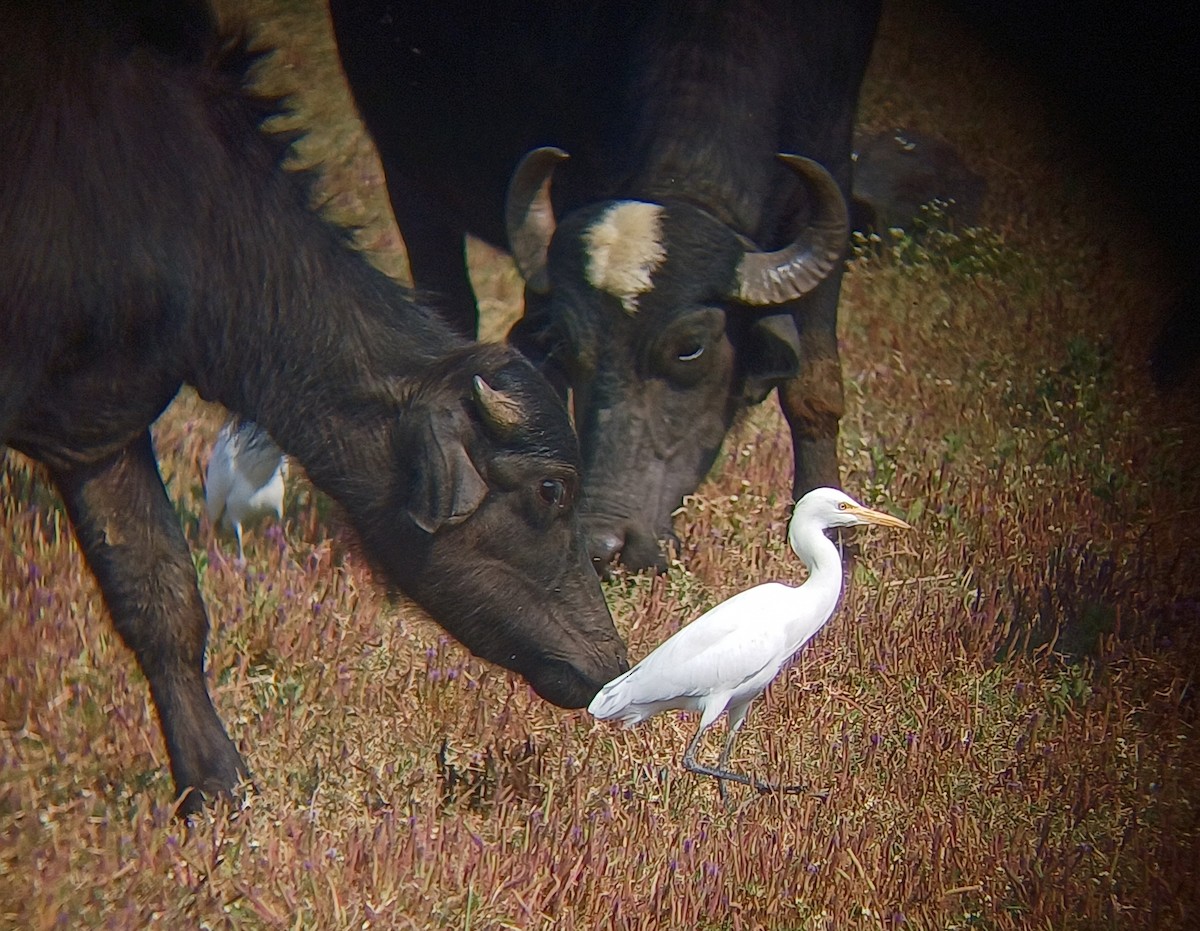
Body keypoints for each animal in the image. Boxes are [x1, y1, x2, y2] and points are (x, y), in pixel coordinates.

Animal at [329, 0, 882, 572]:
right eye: (569, 344)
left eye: (690, 348)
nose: (605, 545)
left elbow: (814, 390)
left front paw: (840, 541)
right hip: (409, 176)